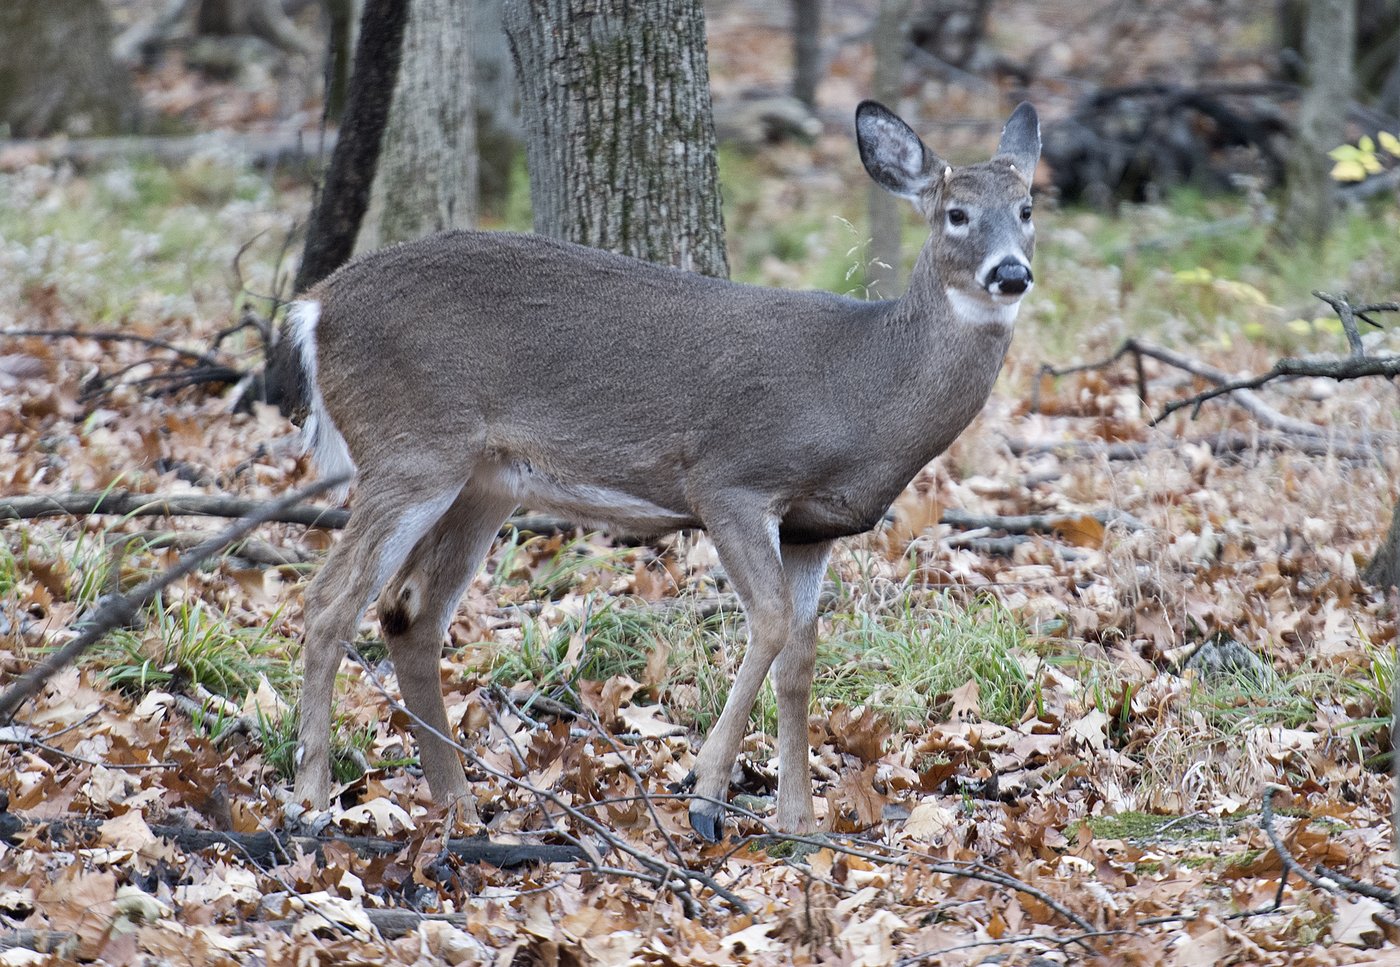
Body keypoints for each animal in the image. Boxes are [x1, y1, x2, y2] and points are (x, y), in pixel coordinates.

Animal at [280, 99, 1040, 841]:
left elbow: (800, 656)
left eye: (1028, 208)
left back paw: (459, 804)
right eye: (956, 213)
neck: (865, 387)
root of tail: (314, 307)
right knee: (330, 600)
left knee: (410, 611)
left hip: (485, 479)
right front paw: (706, 794)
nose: (1011, 272)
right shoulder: (730, 481)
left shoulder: (813, 526)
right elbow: (769, 622)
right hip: (412, 447)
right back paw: (313, 798)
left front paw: (799, 825)